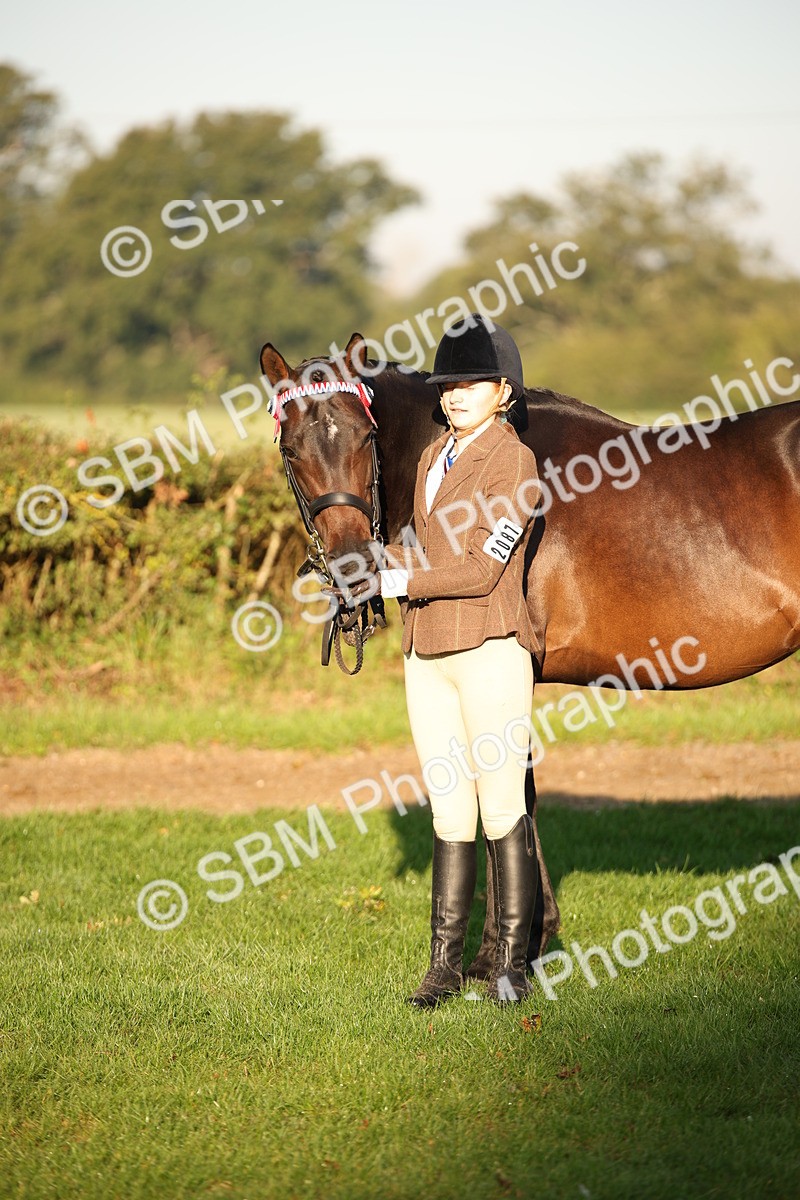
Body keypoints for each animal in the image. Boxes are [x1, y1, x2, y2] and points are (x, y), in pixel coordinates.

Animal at [259, 332, 800, 962]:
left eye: (367, 437)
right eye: (291, 449)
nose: (354, 567)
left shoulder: (509, 666)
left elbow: (510, 795)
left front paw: (500, 952)